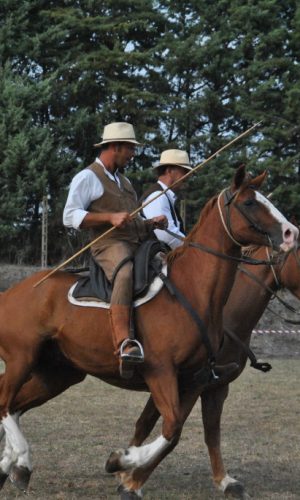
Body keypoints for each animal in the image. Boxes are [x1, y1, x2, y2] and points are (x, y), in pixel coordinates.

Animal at [0, 167, 298, 496]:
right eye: (249, 202)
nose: (291, 233)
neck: (195, 291)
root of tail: (10, 293)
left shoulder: (200, 381)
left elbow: (196, 431)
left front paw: (223, 481)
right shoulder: (163, 372)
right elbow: (170, 428)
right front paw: (122, 467)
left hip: (57, 373)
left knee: (13, 404)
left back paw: (11, 465)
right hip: (22, 357)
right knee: (5, 403)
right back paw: (22, 462)